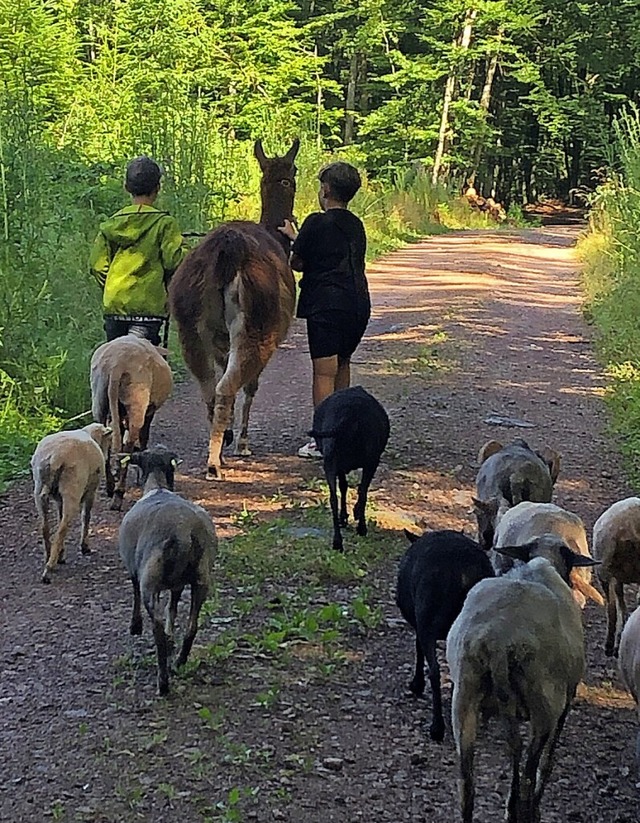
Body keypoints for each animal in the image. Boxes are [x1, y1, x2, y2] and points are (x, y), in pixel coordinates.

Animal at [31, 424, 113, 584]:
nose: (107, 457)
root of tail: (54, 457)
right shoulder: (91, 491)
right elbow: (86, 517)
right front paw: (85, 547)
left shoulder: (59, 499)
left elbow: (60, 516)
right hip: (72, 490)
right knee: (62, 529)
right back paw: (49, 568)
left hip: (39, 489)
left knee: (45, 527)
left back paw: (51, 556)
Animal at [90, 334, 174, 508]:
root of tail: (116, 365)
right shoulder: (149, 411)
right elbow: (143, 437)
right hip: (137, 399)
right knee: (128, 446)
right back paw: (118, 495)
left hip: (99, 398)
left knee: (107, 443)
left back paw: (110, 486)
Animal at [444, 536, 600, 823]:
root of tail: (497, 639)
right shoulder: (565, 703)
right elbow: (547, 762)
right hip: (545, 705)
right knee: (527, 772)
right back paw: (523, 810)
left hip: (464, 697)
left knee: (467, 786)